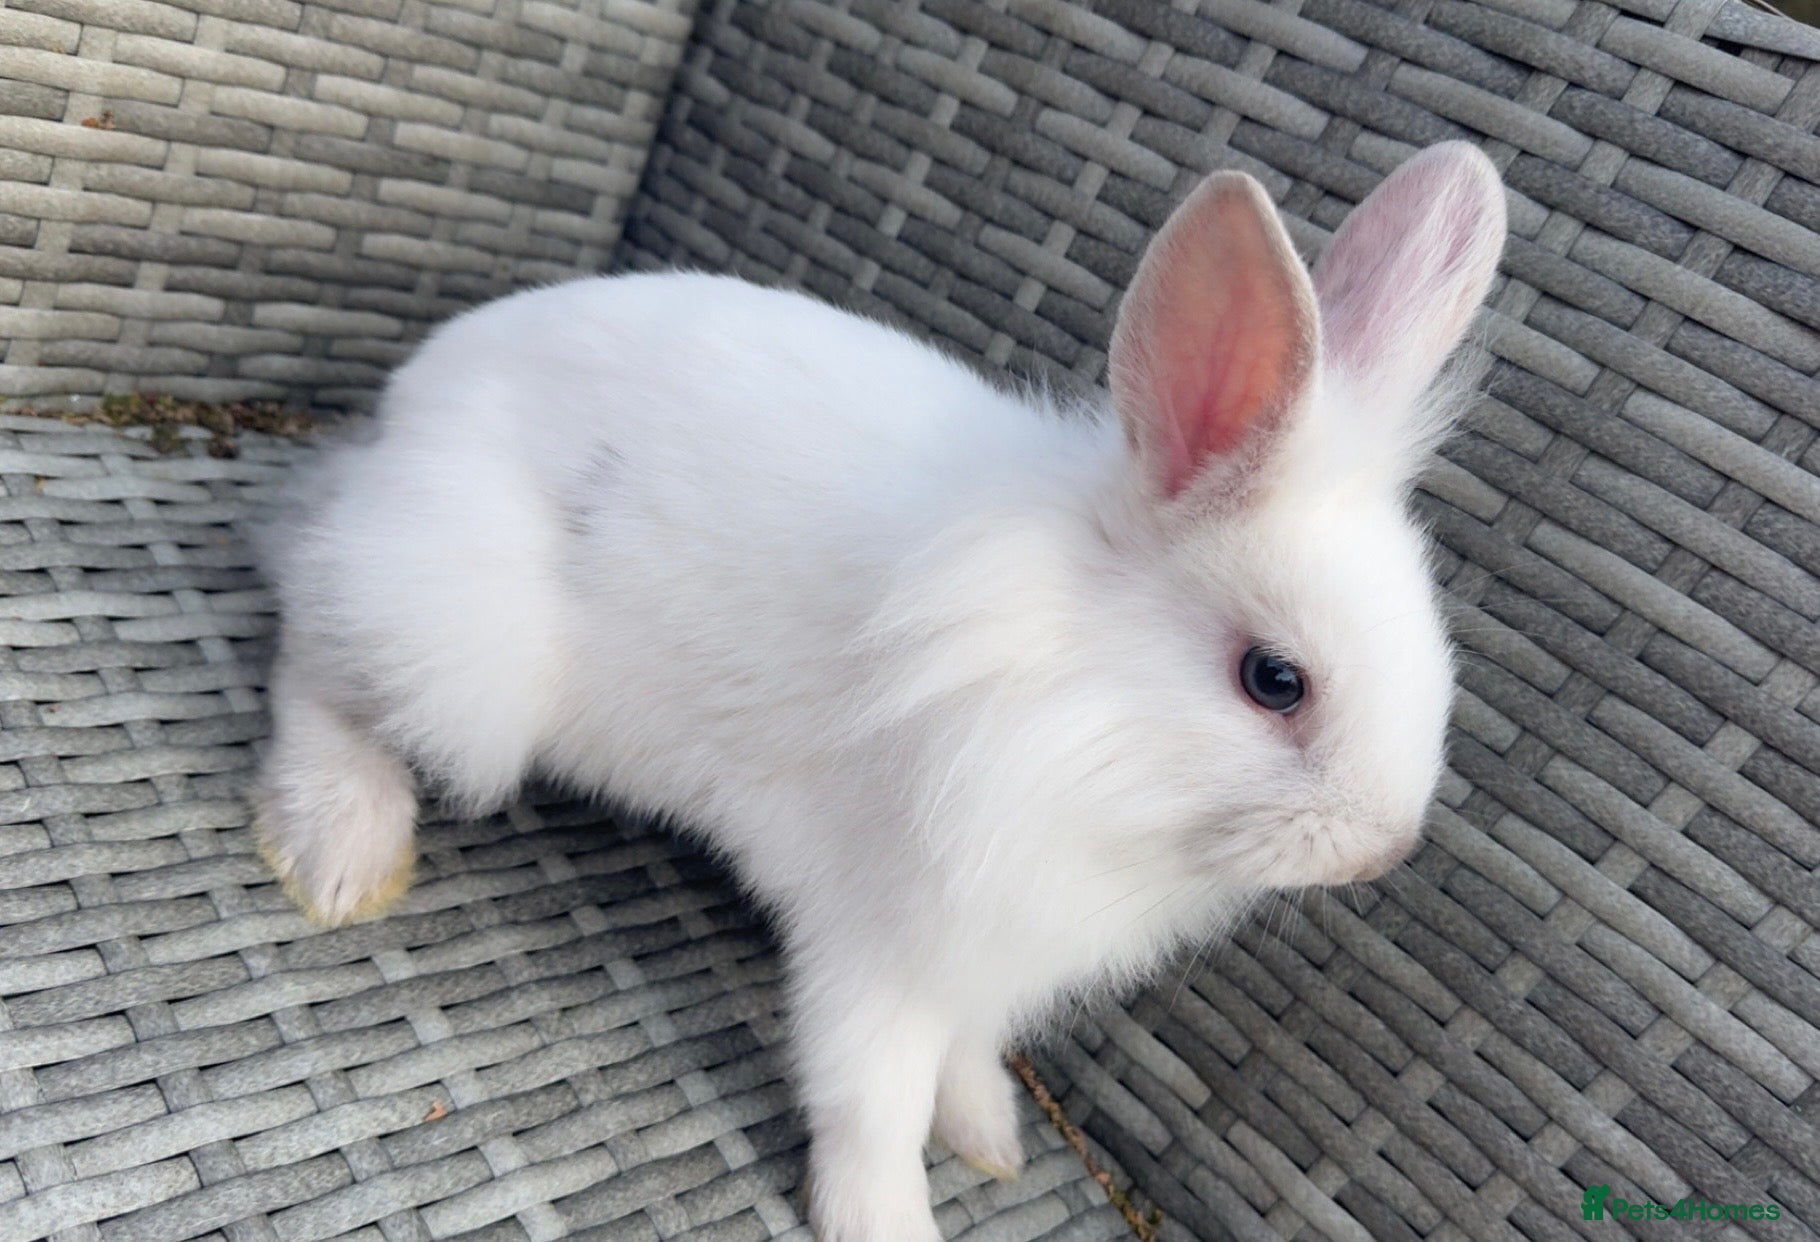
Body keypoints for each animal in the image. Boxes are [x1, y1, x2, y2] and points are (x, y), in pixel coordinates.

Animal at [255, 140, 1507, 1241]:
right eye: (1272, 680)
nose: (1380, 851)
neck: (1079, 710)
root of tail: (407, 405)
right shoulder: (884, 938)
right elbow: (872, 1098)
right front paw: (887, 1218)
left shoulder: (991, 951)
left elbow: (966, 1052)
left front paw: (988, 1138)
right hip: (462, 647)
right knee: (311, 643)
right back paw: (340, 855)